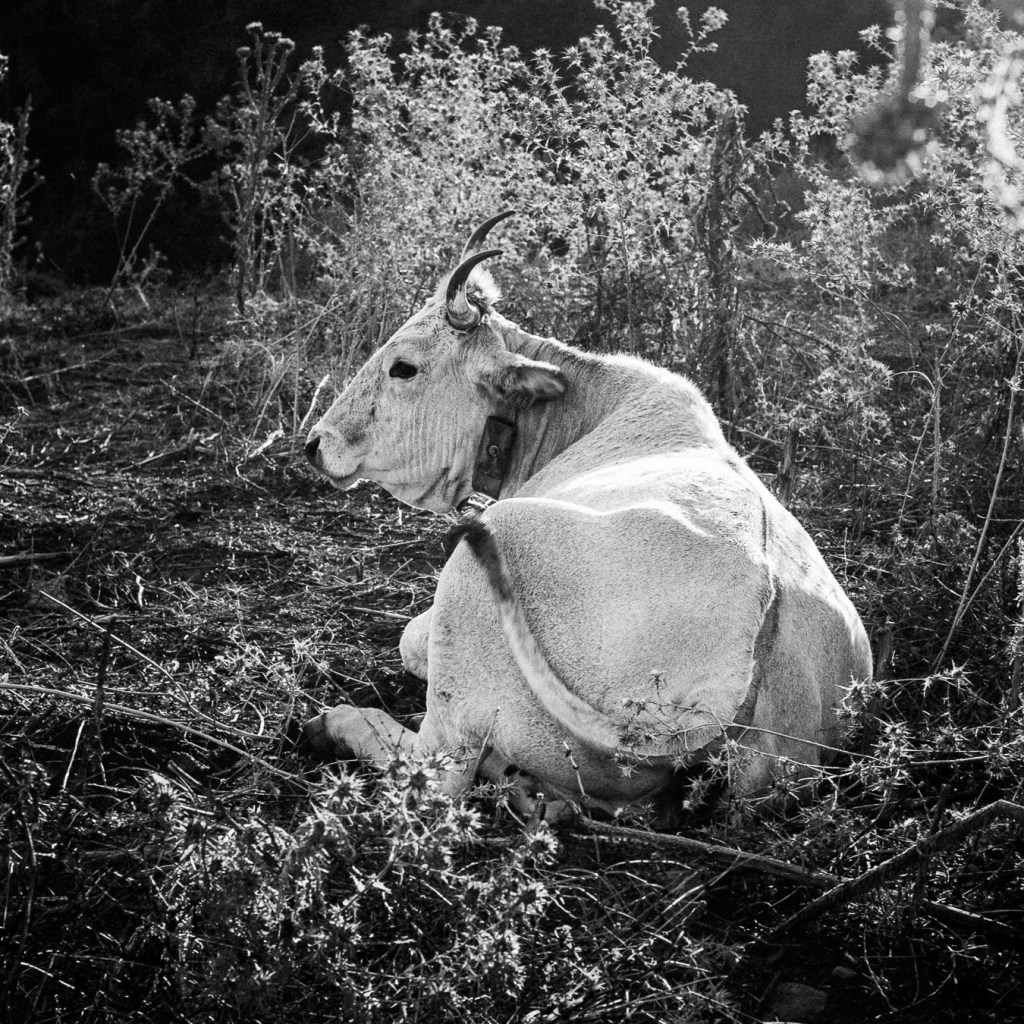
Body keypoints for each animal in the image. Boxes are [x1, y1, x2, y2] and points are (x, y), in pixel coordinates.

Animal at [302, 212, 872, 818]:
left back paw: (338, 724)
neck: (587, 410)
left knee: (438, 772)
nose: (316, 443)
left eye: (404, 367)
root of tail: (759, 618)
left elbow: (411, 640)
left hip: (473, 592)